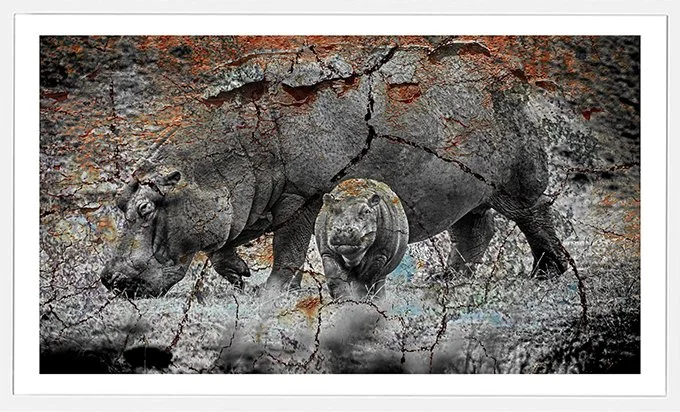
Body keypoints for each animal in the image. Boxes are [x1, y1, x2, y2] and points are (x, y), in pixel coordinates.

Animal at [100, 41, 571, 298]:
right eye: (119, 202)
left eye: (146, 209)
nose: (109, 280)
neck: (213, 164)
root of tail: (507, 70)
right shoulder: (242, 204)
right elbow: (223, 243)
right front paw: (239, 276)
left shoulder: (302, 195)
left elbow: (288, 247)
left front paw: (269, 293)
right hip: (466, 191)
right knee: (475, 231)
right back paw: (443, 282)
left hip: (517, 180)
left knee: (534, 215)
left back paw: (547, 274)